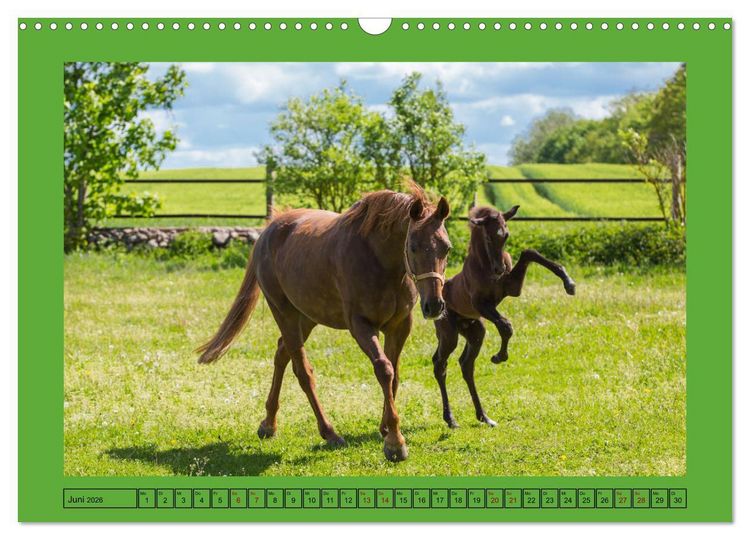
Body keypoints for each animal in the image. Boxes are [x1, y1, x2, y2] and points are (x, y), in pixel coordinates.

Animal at [196, 183, 452, 462]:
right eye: (413, 246)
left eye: (446, 248)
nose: (434, 305)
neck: (379, 260)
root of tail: (270, 230)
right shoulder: (361, 326)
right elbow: (384, 370)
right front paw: (395, 442)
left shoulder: (400, 326)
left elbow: (394, 375)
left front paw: (385, 428)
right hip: (284, 313)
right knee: (302, 371)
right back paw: (329, 433)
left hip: (307, 317)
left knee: (282, 354)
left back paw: (268, 424)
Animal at [432, 205, 576, 428]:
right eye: (488, 237)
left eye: (506, 234)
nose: (499, 269)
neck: (485, 266)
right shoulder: (481, 305)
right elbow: (506, 325)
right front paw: (499, 356)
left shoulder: (512, 288)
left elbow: (529, 252)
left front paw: (569, 283)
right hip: (449, 334)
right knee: (440, 364)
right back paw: (451, 419)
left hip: (475, 330)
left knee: (466, 365)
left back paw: (484, 417)